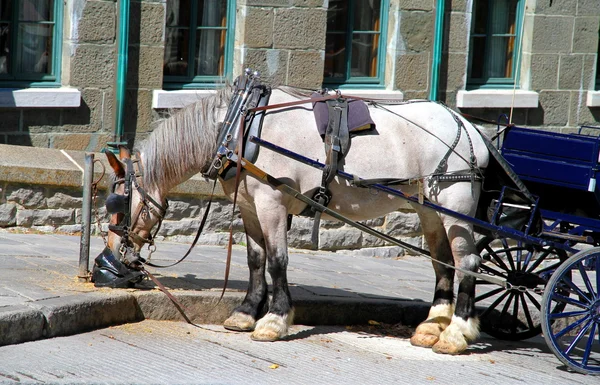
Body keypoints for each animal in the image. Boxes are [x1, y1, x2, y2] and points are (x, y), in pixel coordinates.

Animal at [102, 83, 488, 354]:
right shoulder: (249, 205)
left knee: (467, 261)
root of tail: (468, 125)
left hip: (454, 205)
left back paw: (456, 332)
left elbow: (277, 260)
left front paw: (274, 319)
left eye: (118, 201)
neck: (241, 125)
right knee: (442, 263)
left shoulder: (271, 202)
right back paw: (432, 325)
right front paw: (246, 312)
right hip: (429, 209)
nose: (111, 257)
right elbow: (255, 260)